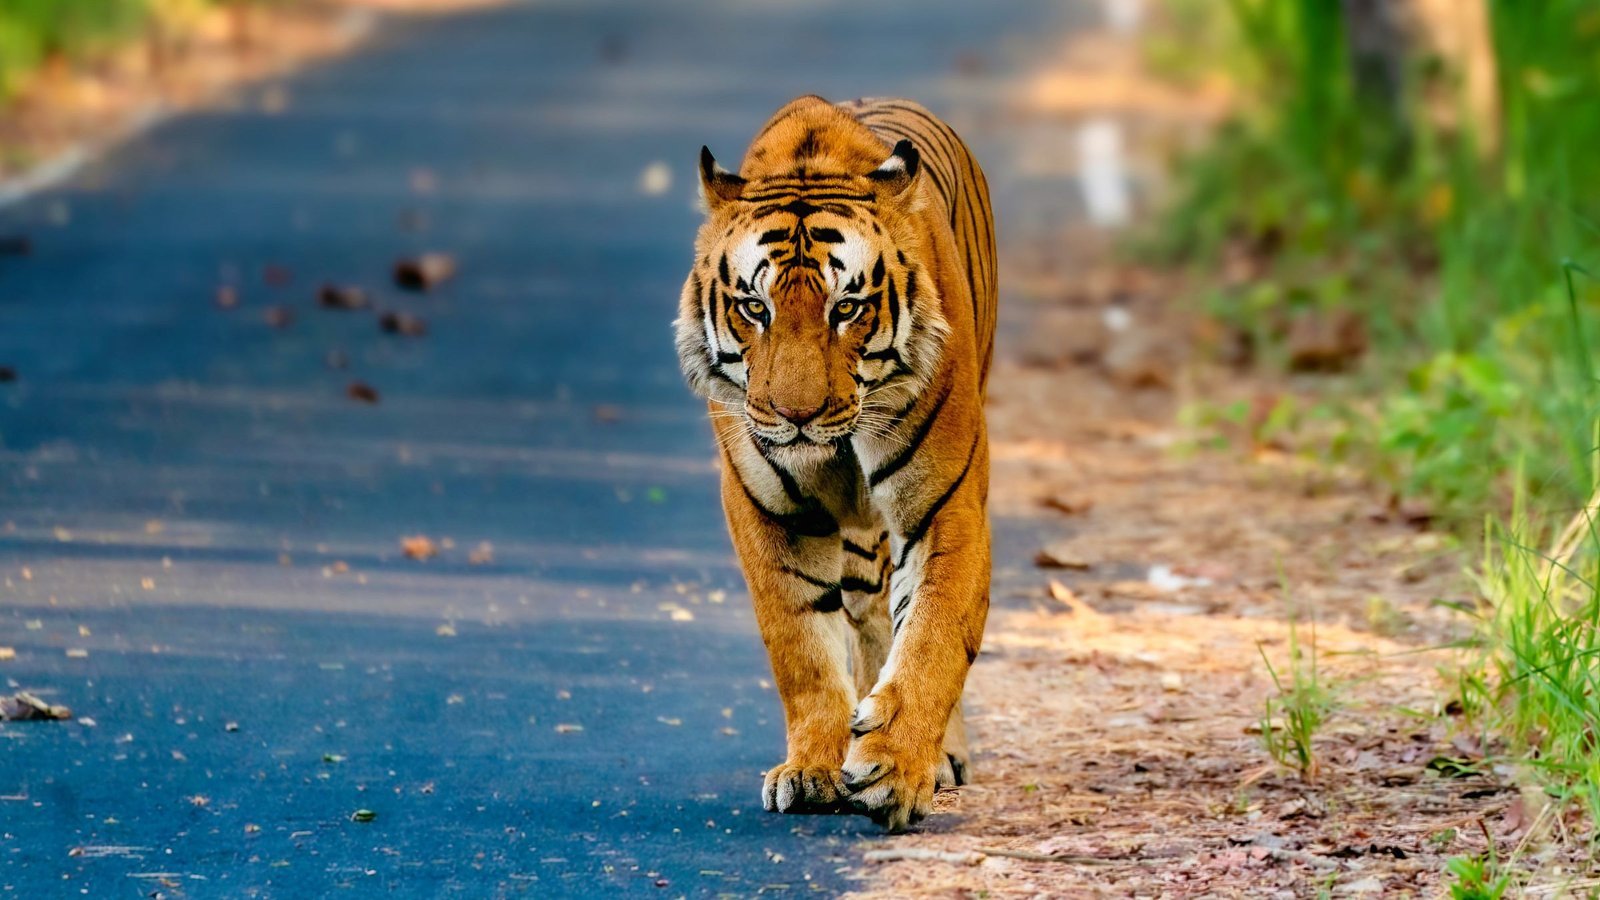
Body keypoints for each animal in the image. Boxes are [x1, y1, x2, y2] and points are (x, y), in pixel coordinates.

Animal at [674, 95, 996, 832]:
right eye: (754, 307)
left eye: (846, 307)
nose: (794, 414)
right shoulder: (768, 511)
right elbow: (802, 649)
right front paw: (813, 768)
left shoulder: (947, 506)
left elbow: (933, 637)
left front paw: (896, 770)